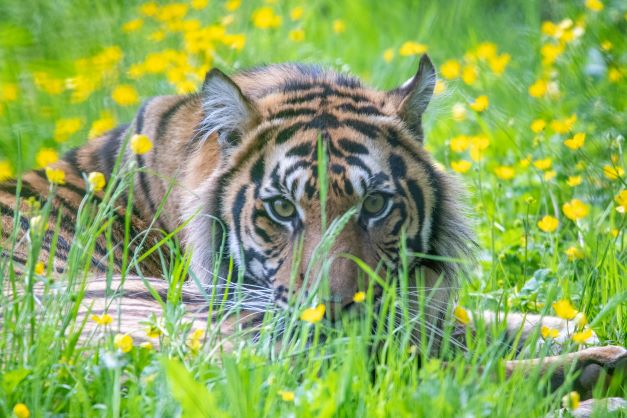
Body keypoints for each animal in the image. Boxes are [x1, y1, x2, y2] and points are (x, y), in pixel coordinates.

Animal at [0, 53, 624, 414]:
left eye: (374, 205)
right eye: (281, 209)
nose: (336, 309)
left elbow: (478, 320)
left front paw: (569, 325)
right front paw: (585, 345)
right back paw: (597, 376)